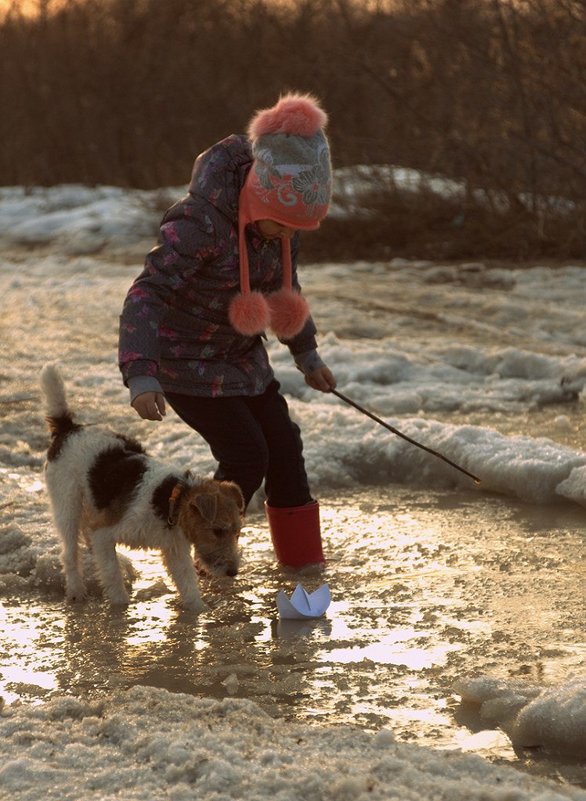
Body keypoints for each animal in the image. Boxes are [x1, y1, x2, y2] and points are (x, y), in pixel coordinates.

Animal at [39, 364, 244, 612]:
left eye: (238, 532)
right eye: (217, 530)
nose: (232, 572)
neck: (168, 499)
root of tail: (69, 428)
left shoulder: (174, 549)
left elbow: (187, 584)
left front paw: (199, 611)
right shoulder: (105, 533)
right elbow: (112, 576)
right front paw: (120, 609)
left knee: (86, 537)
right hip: (68, 505)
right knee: (70, 553)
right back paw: (76, 591)